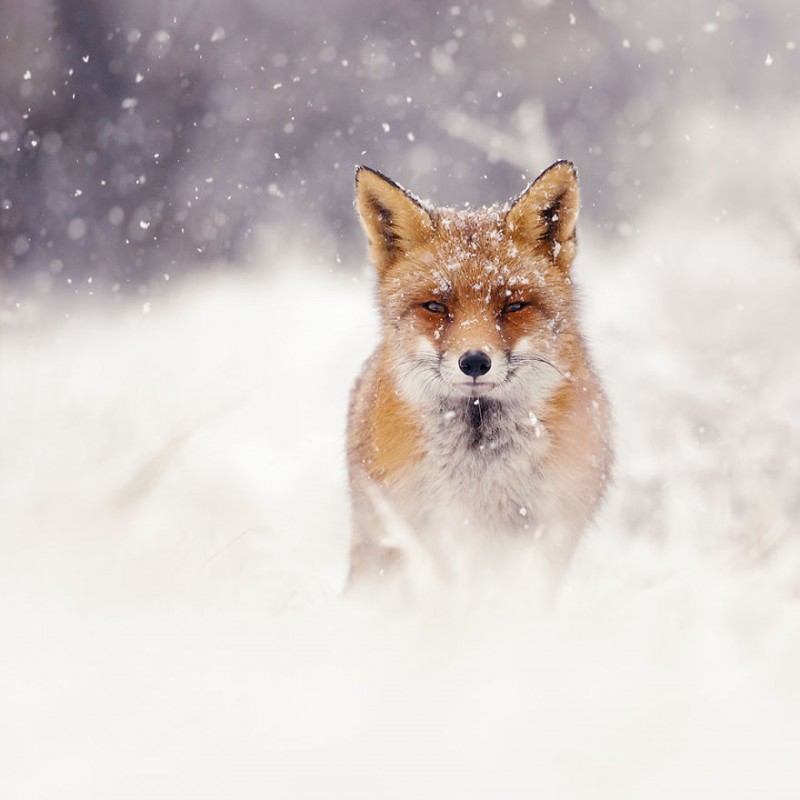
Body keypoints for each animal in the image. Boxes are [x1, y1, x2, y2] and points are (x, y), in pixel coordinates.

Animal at [346, 162, 612, 584]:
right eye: (435, 306)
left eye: (514, 305)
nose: (474, 362)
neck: (480, 459)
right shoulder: (427, 529)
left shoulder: (548, 527)